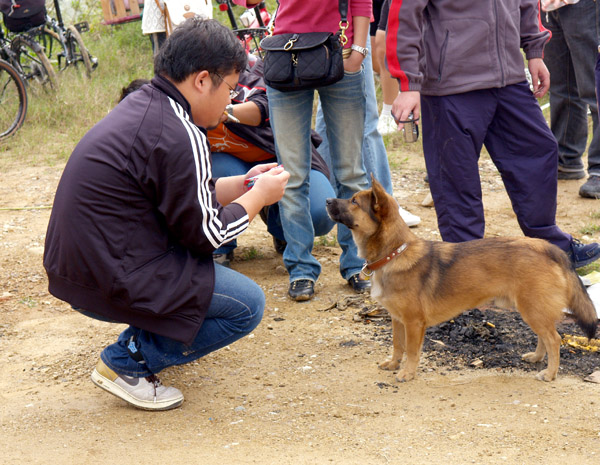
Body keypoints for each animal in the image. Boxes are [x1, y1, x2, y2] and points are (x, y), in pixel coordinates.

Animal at [326, 178, 596, 380]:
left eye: (353, 201)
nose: (327, 200)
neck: (394, 253)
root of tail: (546, 247)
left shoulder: (413, 323)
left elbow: (411, 350)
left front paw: (407, 373)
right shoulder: (397, 319)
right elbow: (397, 345)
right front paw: (393, 364)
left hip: (533, 309)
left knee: (554, 339)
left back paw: (549, 373)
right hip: (532, 309)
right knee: (545, 337)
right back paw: (537, 358)